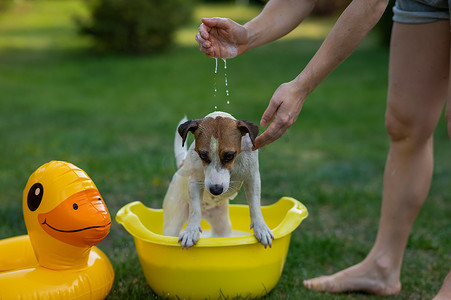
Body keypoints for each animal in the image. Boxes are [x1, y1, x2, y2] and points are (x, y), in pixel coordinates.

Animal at [163, 112, 274, 248]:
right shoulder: (195, 182)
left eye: (229, 155)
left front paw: (261, 227)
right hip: (173, 219)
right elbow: (194, 210)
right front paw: (191, 230)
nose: (216, 190)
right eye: (203, 155)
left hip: (221, 223)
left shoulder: (252, 178)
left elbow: (255, 205)